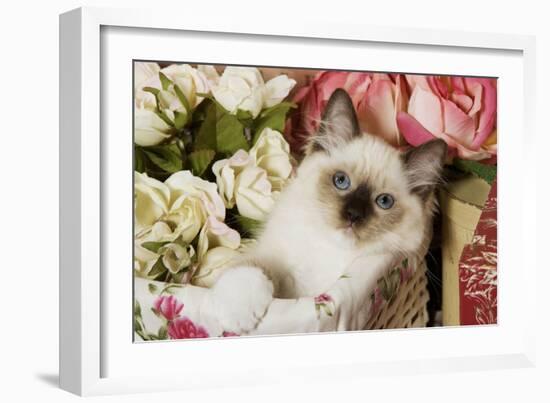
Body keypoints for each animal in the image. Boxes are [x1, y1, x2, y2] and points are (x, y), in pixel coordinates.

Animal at [204, 88, 448, 334]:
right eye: (341, 181)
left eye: (384, 201)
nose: (353, 215)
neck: (330, 251)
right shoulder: (274, 259)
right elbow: (251, 268)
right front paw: (237, 315)